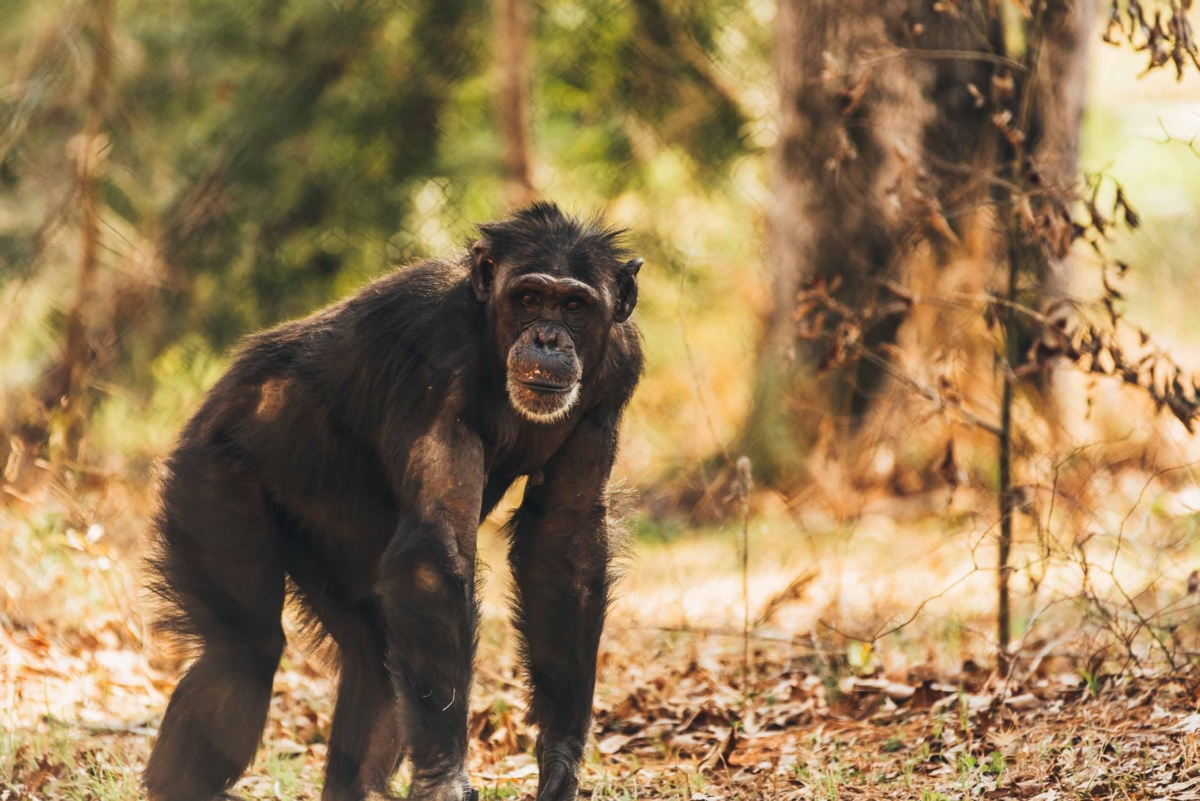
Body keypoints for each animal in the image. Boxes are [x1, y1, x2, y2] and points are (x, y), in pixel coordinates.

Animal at [142, 201, 643, 801]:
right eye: (528, 298)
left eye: (574, 305)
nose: (547, 336)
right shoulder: (436, 354)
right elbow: (434, 552)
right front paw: (445, 777)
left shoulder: (616, 373)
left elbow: (563, 546)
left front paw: (561, 764)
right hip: (211, 477)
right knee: (242, 652)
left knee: (377, 663)